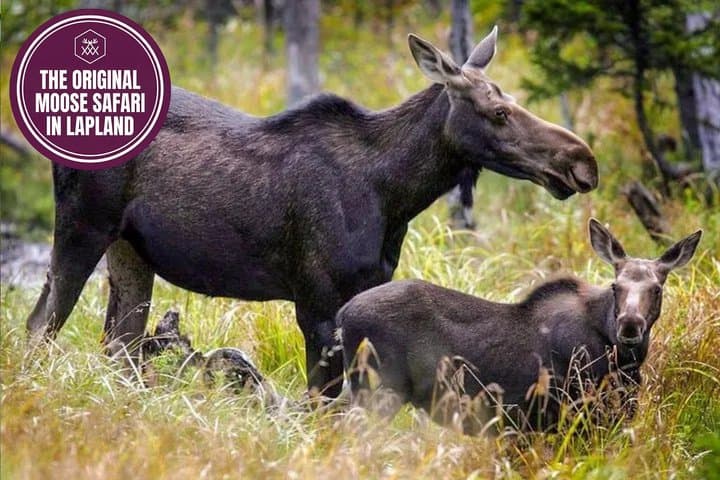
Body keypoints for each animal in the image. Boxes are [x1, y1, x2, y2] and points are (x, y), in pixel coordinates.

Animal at [26, 27, 597, 398]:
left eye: (514, 99)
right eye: (499, 112)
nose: (582, 161)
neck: (394, 193)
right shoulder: (318, 302)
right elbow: (323, 402)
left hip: (130, 251)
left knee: (117, 345)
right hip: (81, 230)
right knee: (41, 324)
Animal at [339, 219, 702, 431]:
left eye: (657, 288)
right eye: (616, 286)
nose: (629, 325)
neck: (625, 363)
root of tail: (342, 317)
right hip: (379, 389)